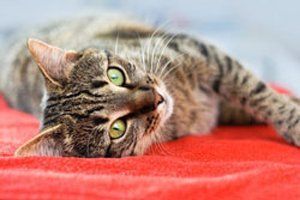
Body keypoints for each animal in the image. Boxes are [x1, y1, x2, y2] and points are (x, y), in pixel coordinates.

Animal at [0, 16, 300, 157]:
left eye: (115, 75)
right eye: (117, 129)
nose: (156, 97)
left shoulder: (205, 54)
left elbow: (257, 93)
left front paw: (291, 113)